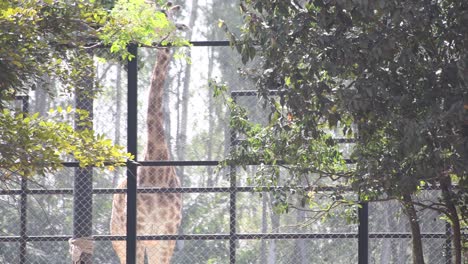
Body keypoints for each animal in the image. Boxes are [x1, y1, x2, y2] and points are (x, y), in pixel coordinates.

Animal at [110, 2, 183, 264]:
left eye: (175, 22)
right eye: (161, 14)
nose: (163, 40)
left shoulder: (168, 235)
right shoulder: (138, 231)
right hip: (118, 237)